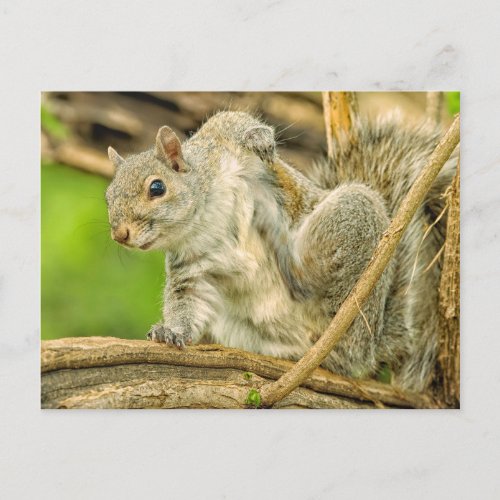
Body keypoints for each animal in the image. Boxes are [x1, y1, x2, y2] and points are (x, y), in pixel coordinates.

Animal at [105, 108, 458, 390]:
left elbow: (233, 122)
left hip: (352, 220)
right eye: (108, 198)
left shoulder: (221, 141)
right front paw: (171, 332)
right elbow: (188, 301)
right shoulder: (191, 265)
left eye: (157, 187)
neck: (203, 216)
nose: (120, 234)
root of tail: (370, 346)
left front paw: (261, 139)